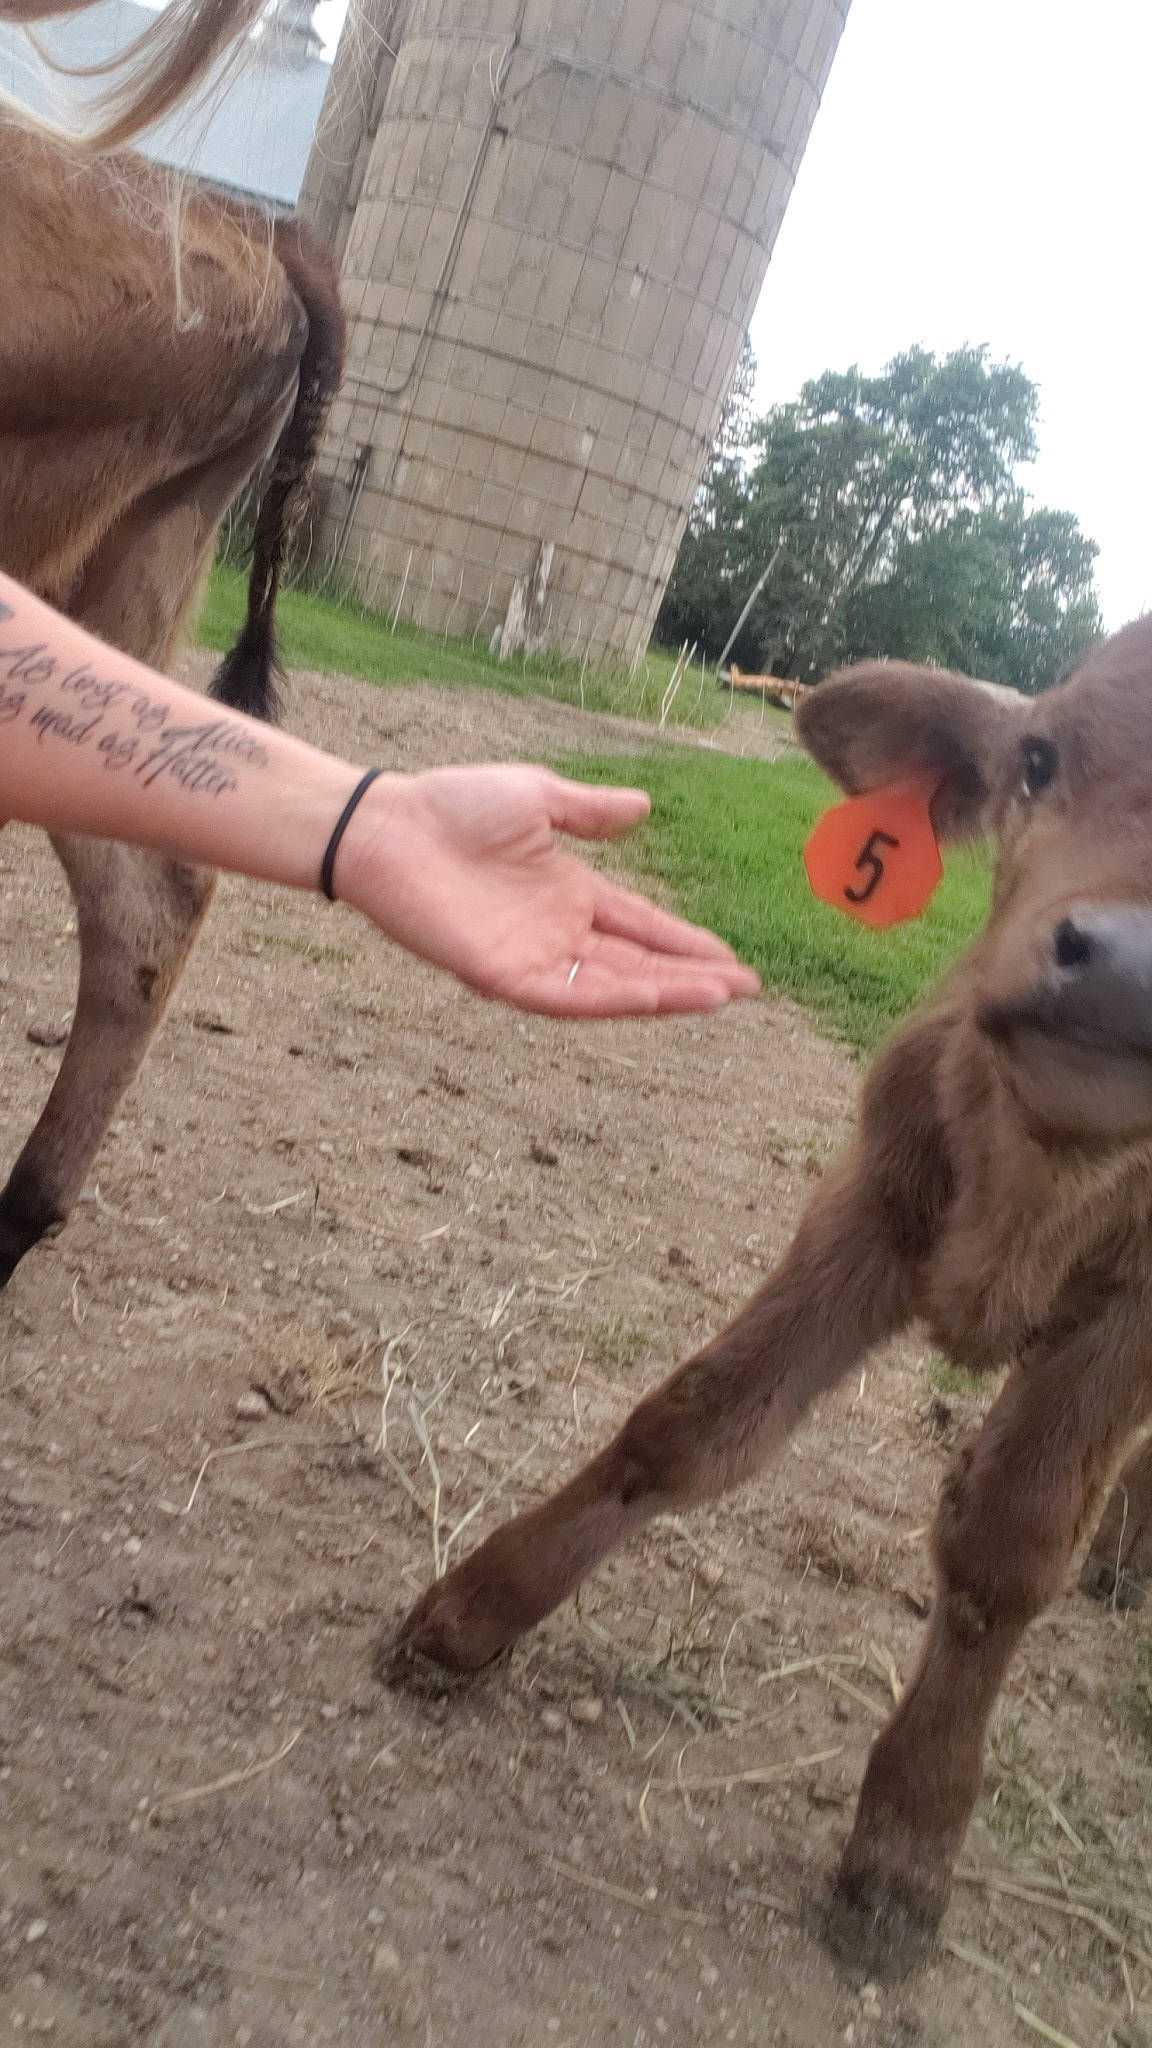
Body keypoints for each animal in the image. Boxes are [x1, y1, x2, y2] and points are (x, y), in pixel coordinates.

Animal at [390, 615, 1152, 1975]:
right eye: (1041, 754)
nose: (1123, 970)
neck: (1034, 1183)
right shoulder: (878, 1200)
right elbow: (694, 1421)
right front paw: (476, 1606)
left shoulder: (1129, 1317)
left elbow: (1008, 1547)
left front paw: (906, 1841)